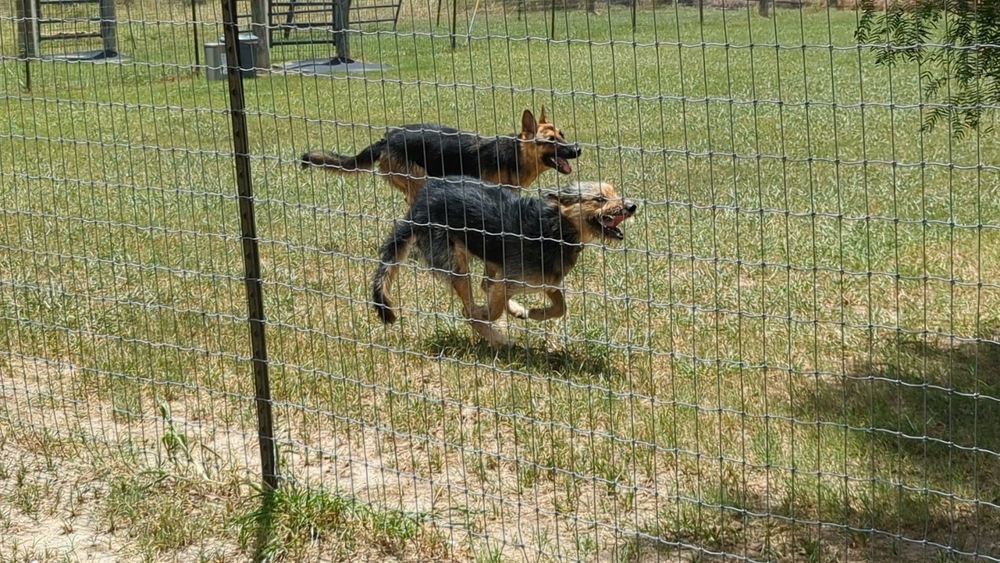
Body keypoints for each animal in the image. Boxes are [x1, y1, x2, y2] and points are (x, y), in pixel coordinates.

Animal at [298, 108, 580, 205]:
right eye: (551, 141)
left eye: (563, 134)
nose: (578, 150)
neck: (515, 154)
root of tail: (387, 138)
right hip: (419, 179)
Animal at [372, 177, 636, 348]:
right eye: (599, 199)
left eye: (614, 193)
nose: (632, 206)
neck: (555, 228)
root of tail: (418, 206)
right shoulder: (512, 277)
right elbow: (491, 310)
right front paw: (488, 313)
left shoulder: (545, 281)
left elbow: (561, 307)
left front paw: (535, 312)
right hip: (454, 261)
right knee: (468, 309)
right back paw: (499, 339)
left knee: (484, 287)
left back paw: (516, 310)